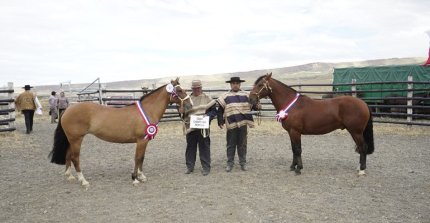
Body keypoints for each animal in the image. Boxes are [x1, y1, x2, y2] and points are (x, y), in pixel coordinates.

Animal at [48, 78, 193, 186]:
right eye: (179, 90)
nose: (190, 104)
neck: (147, 110)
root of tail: (68, 109)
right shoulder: (141, 140)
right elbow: (138, 158)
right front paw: (135, 178)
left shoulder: (145, 141)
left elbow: (142, 158)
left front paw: (141, 176)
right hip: (76, 139)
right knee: (75, 157)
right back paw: (83, 181)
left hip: (71, 139)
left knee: (68, 155)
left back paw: (69, 176)